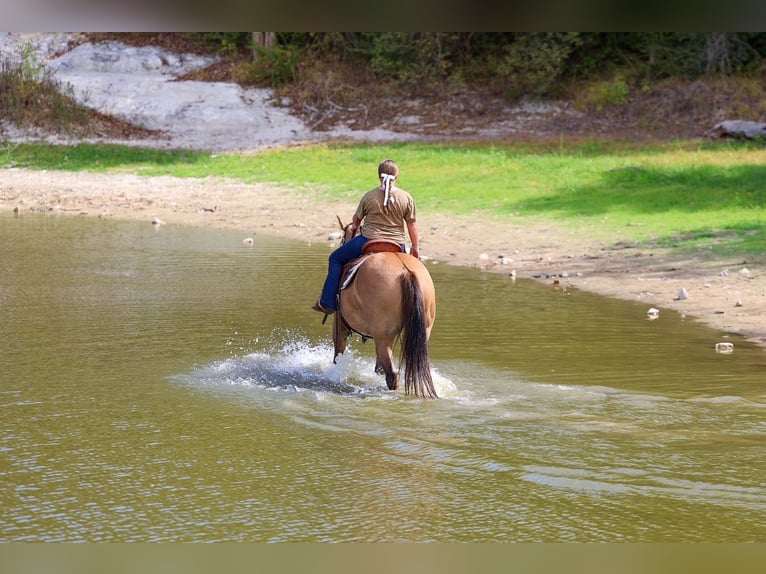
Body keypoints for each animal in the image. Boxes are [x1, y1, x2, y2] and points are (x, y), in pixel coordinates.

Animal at [331, 216, 437, 398]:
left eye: (343, 239)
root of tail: (406, 272)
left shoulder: (340, 324)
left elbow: (338, 354)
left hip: (383, 336)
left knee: (391, 374)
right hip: (419, 332)